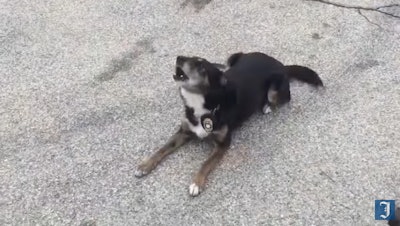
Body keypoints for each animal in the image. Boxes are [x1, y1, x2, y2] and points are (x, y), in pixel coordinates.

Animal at [136, 51, 324, 196]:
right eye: (188, 57)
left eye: (201, 66)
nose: (179, 58)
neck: (204, 103)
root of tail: (282, 65)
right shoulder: (184, 131)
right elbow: (163, 148)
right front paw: (145, 165)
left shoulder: (223, 144)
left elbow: (206, 163)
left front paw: (197, 183)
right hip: (232, 58)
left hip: (274, 92)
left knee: (283, 98)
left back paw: (267, 107)